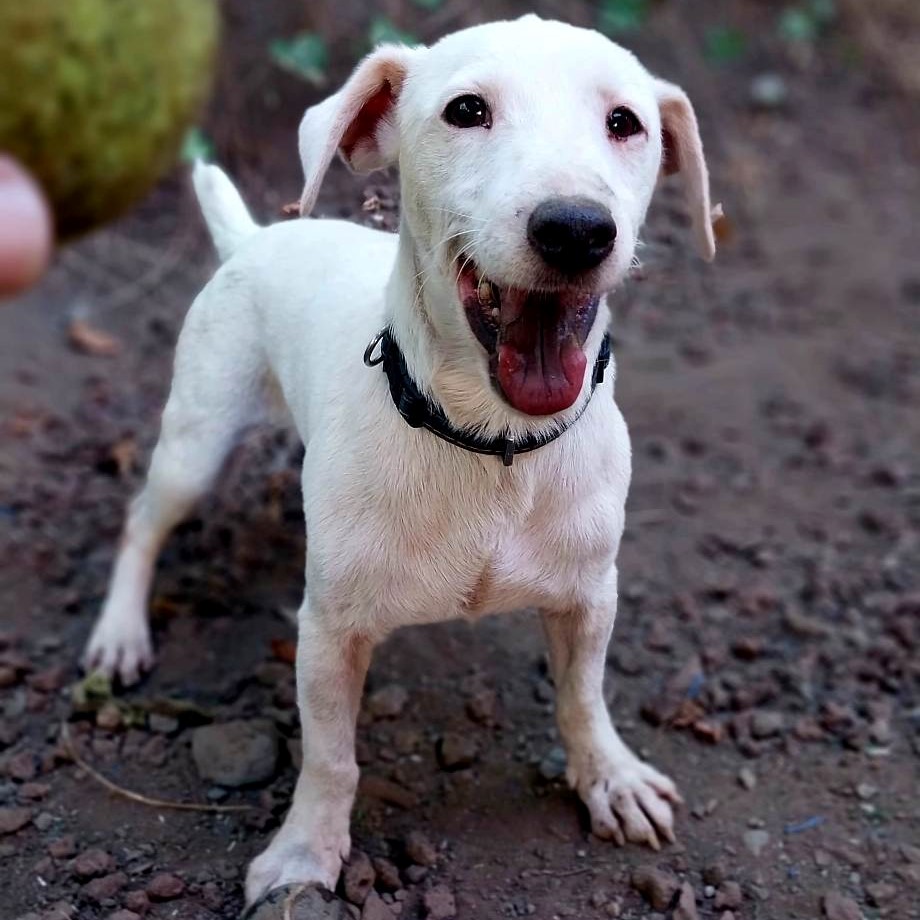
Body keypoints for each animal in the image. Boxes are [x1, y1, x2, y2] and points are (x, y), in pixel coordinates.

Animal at [82, 14, 716, 904]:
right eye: (466, 110)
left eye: (625, 122)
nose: (576, 229)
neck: (490, 444)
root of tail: (258, 237)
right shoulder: (328, 632)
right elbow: (329, 758)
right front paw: (304, 852)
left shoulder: (589, 597)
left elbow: (583, 699)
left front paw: (609, 777)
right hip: (195, 444)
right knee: (143, 522)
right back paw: (120, 631)